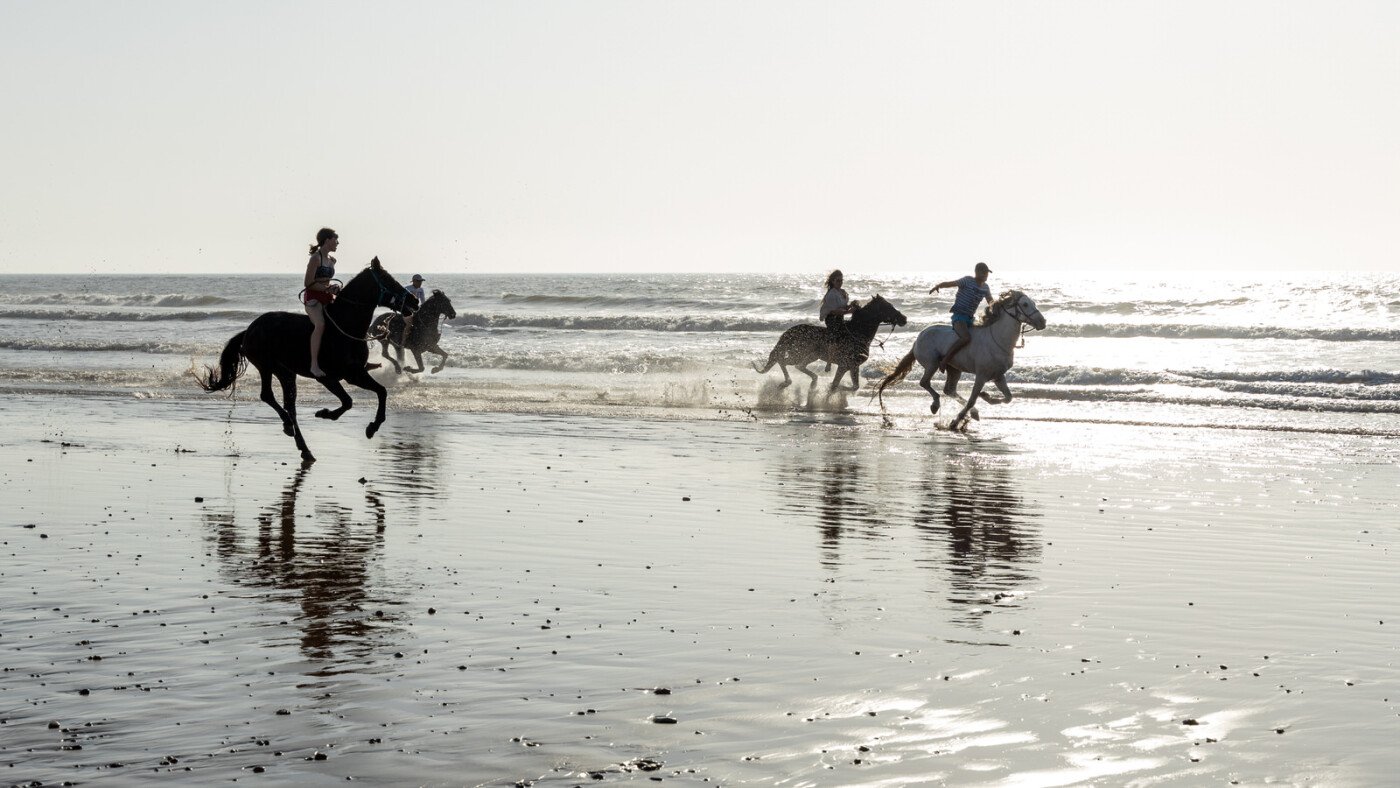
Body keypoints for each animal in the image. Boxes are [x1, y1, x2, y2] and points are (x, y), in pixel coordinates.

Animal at [197, 256, 417, 464]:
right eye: (388, 279)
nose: (414, 300)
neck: (345, 328)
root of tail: (249, 330)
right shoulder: (332, 377)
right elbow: (349, 401)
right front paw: (325, 414)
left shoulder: (356, 374)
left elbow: (381, 392)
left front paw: (372, 428)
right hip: (267, 366)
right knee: (268, 396)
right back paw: (288, 426)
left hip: (286, 373)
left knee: (290, 406)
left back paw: (304, 447)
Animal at [756, 293, 907, 391]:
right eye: (888, 307)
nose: (904, 318)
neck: (857, 333)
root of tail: (789, 332)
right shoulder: (844, 365)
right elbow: (837, 384)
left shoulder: (853, 366)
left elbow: (854, 386)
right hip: (798, 354)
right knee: (783, 361)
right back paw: (788, 382)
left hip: (810, 356)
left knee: (797, 365)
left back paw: (812, 382)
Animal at [879, 289, 1047, 428]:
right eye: (1025, 304)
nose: (1042, 322)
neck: (999, 339)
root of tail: (918, 338)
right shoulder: (981, 375)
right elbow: (973, 399)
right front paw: (955, 421)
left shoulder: (998, 376)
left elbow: (1008, 398)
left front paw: (985, 397)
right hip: (932, 364)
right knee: (925, 382)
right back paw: (936, 405)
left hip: (954, 369)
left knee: (949, 390)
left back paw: (972, 413)